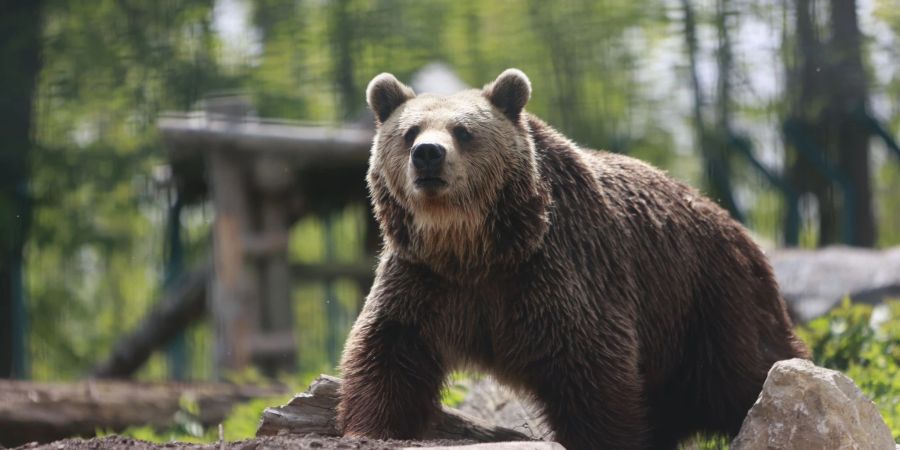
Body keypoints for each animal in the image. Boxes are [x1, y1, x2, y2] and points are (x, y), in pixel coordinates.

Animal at [336, 67, 808, 450]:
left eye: (464, 131)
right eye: (410, 132)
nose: (429, 154)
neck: (475, 249)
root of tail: (733, 224)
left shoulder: (559, 272)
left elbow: (591, 369)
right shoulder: (425, 280)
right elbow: (389, 352)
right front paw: (372, 427)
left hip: (708, 300)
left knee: (748, 369)